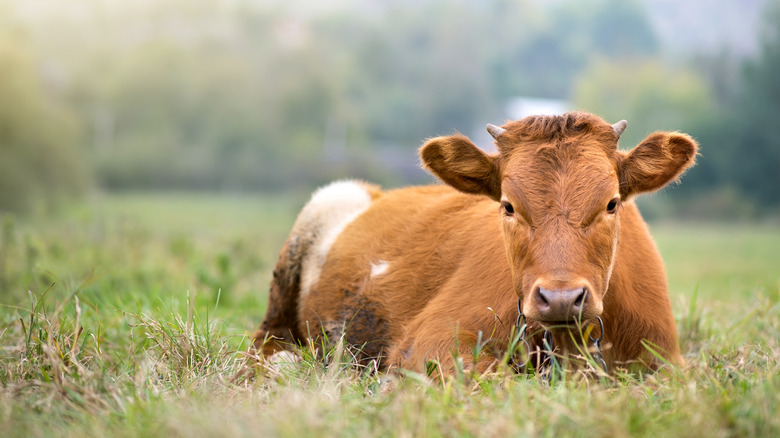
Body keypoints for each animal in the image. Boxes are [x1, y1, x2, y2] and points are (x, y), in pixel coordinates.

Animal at [253, 111, 696, 374]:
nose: (561, 298)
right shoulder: (430, 342)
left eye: (611, 203)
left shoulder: (666, 363)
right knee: (268, 341)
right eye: (507, 205)